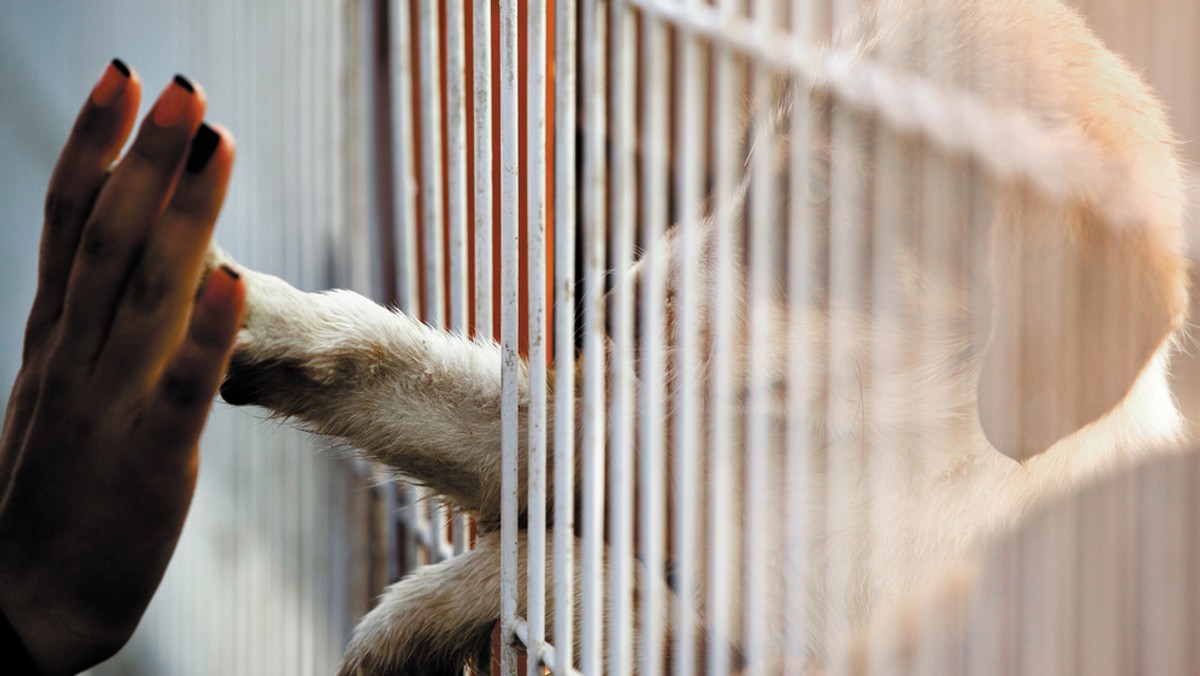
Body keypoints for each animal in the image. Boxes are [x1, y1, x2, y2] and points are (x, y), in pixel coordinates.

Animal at [208, 0, 1190, 672]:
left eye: (818, 194)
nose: (603, 308)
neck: (869, 443)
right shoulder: (650, 443)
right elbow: (433, 383)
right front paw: (248, 311)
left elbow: (577, 567)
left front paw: (433, 603)